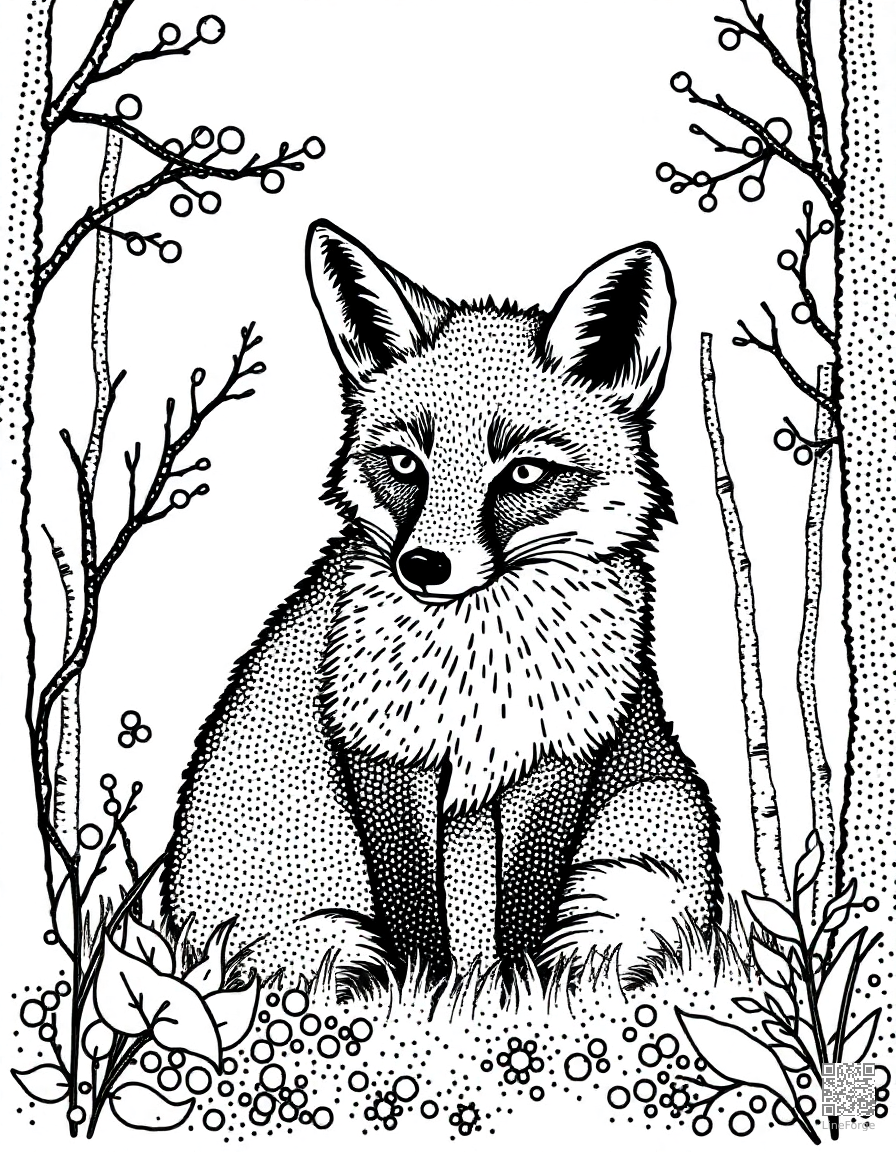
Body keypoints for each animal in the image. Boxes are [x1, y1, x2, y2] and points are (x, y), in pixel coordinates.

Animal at [162, 220, 721, 990]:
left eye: (524, 472)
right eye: (405, 463)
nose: (422, 566)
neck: (480, 664)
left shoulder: (555, 756)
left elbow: (527, 904)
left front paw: (520, 991)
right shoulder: (384, 750)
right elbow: (413, 910)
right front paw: (423, 990)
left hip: (647, 859)